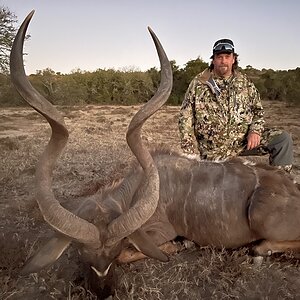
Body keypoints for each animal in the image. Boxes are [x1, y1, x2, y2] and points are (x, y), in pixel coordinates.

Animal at [10, 9, 300, 300]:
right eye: (82, 254)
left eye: (113, 252)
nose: (104, 292)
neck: (136, 189)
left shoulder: (159, 231)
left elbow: (141, 250)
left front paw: (182, 244)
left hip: (258, 212)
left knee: (268, 245)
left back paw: (259, 251)